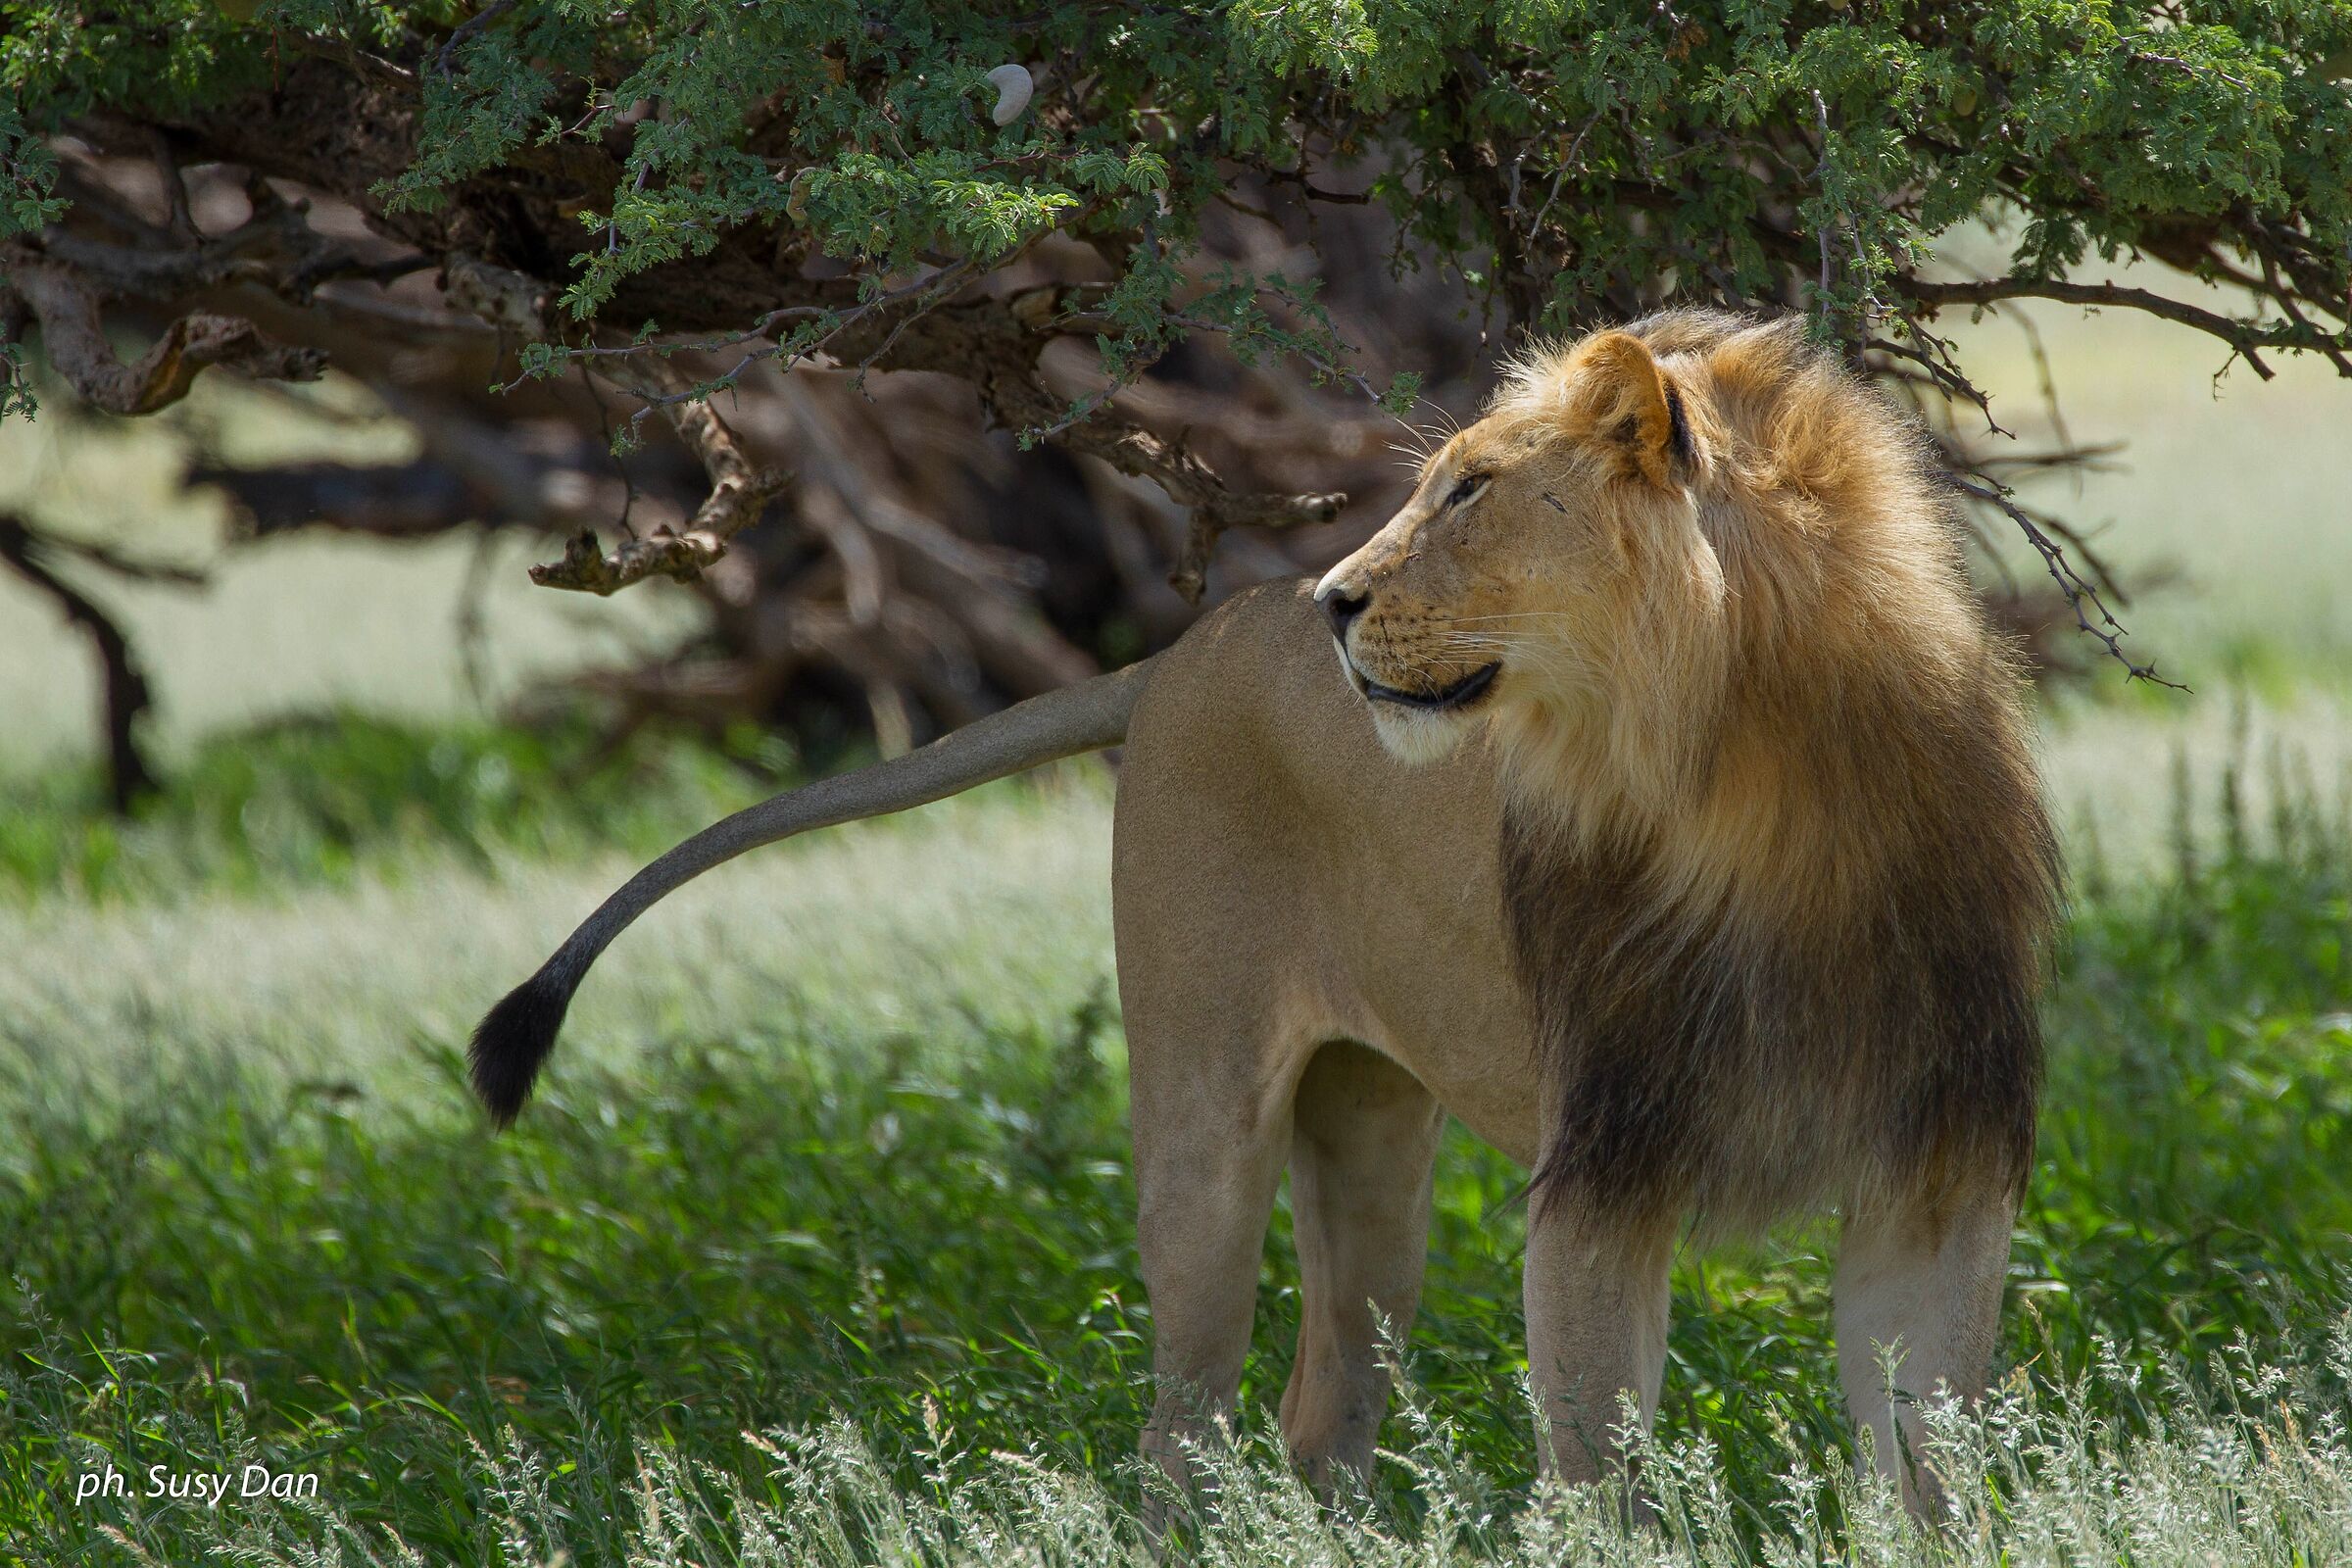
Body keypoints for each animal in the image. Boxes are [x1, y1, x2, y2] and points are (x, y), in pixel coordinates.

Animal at [468, 309, 2059, 1513]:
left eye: (1470, 491)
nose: (1336, 602)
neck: (1764, 787)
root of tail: (1181, 650)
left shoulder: (1938, 1163)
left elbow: (1932, 1467)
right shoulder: (1605, 1171)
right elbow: (1604, 1471)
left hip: (1373, 1150)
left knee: (1325, 1408)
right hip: (1202, 1129)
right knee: (1182, 1433)